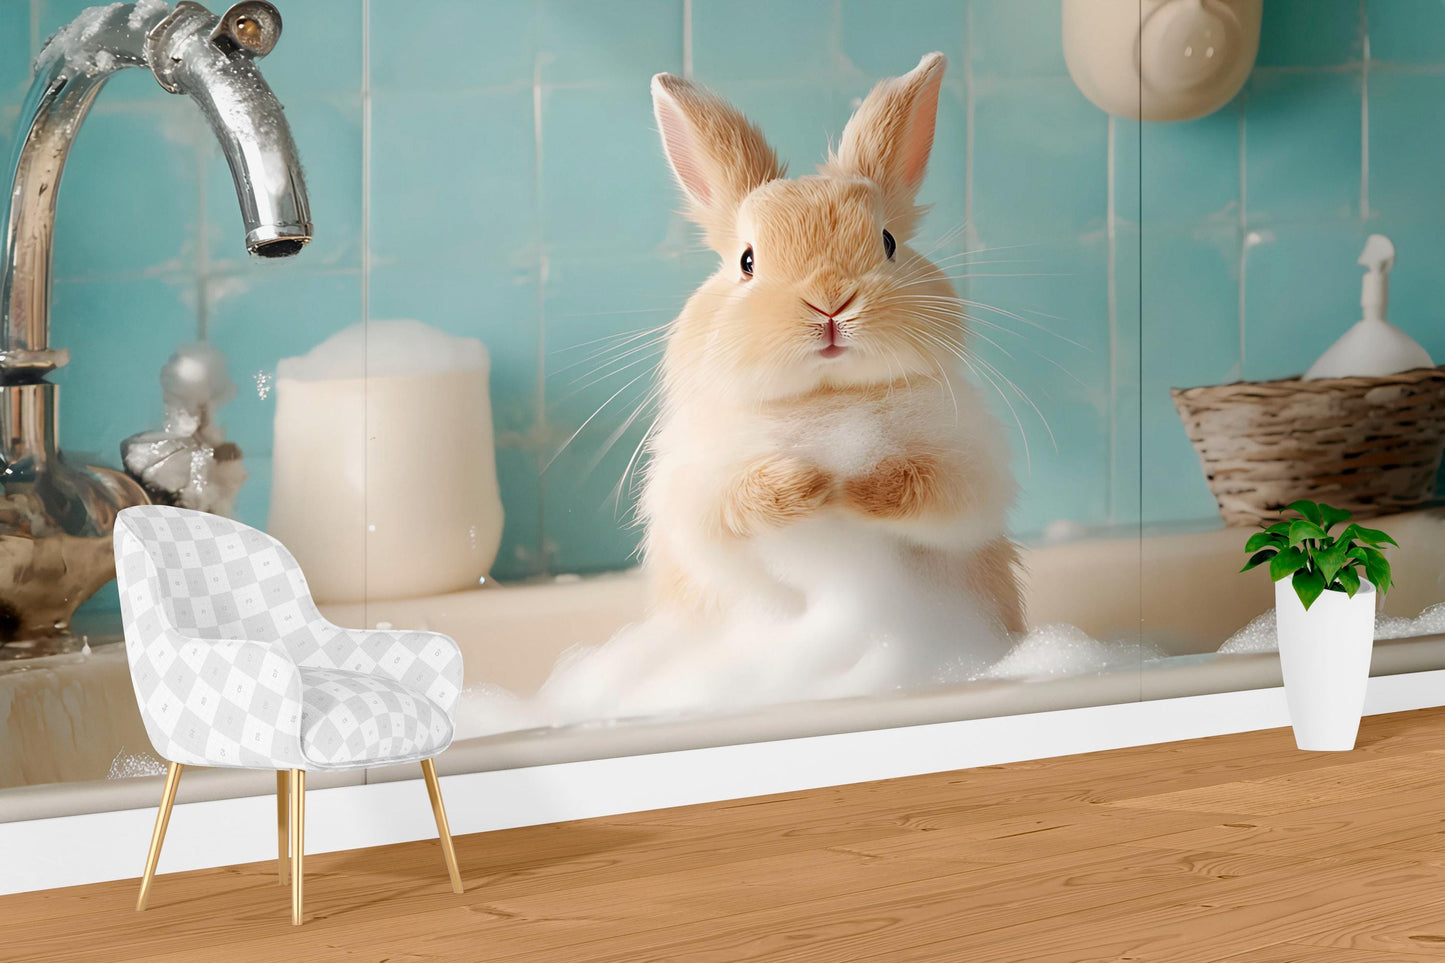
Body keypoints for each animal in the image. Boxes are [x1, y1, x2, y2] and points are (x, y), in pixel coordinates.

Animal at [639, 52, 1024, 679]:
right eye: (747, 261)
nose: (829, 302)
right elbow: (737, 504)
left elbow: (929, 492)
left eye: (888, 241)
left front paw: (854, 486)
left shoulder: (968, 476)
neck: (829, 397)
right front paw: (813, 482)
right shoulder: (697, 496)